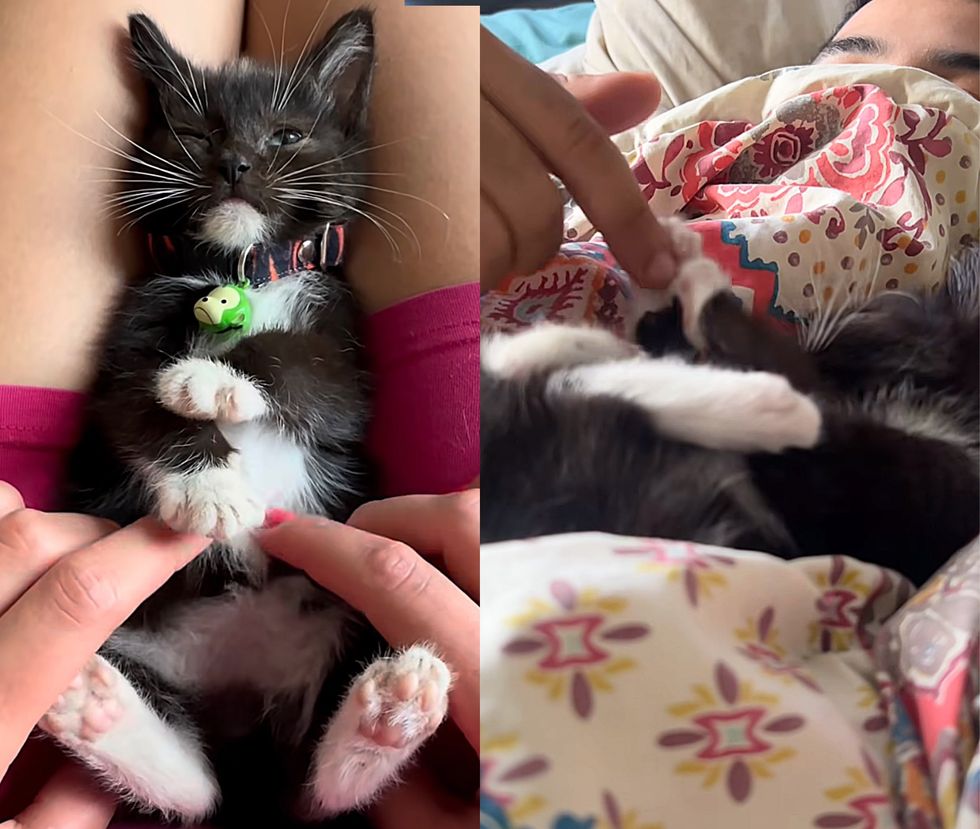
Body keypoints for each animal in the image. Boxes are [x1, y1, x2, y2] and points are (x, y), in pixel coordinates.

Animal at [39, 9, 452, 824]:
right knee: (200, 785)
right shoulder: (127, 334)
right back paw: (97, 705)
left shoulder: (346, 347)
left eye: (286, 135)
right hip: (140, 634)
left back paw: (391, 708)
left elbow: (306, 370)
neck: (245, 268)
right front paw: (210, 485)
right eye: (198, 134)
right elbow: (131, 400)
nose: (234, 165)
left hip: (349, 616)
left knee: (317, 784)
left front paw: (211, 375)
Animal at [478, 220, 976, 584]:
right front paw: (665, 278)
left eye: (867, 314)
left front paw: (691, 288)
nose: (814, 332)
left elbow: (776, 367)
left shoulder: (871, 494)